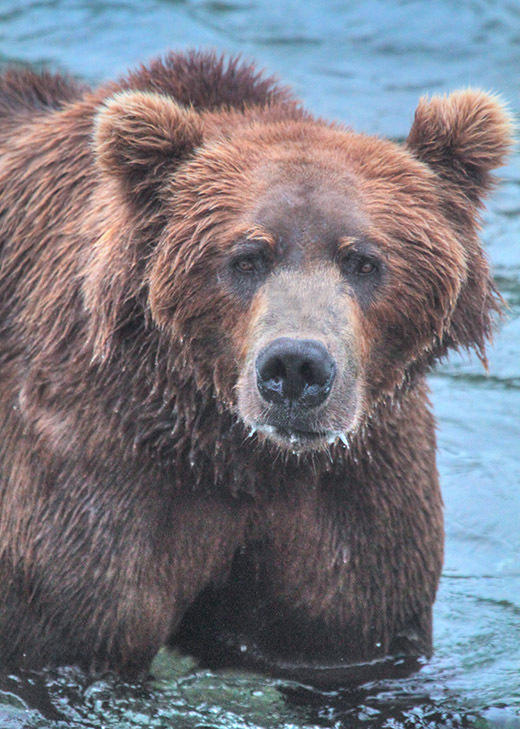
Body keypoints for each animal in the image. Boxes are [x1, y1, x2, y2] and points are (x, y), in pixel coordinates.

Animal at [0, 50, 512, 678]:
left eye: (364, 260)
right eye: (246, 257)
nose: (296, 367)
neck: (238, 452)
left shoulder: (357, 491)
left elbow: (351, 642)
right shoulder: (92, 464)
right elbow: (70, 626)